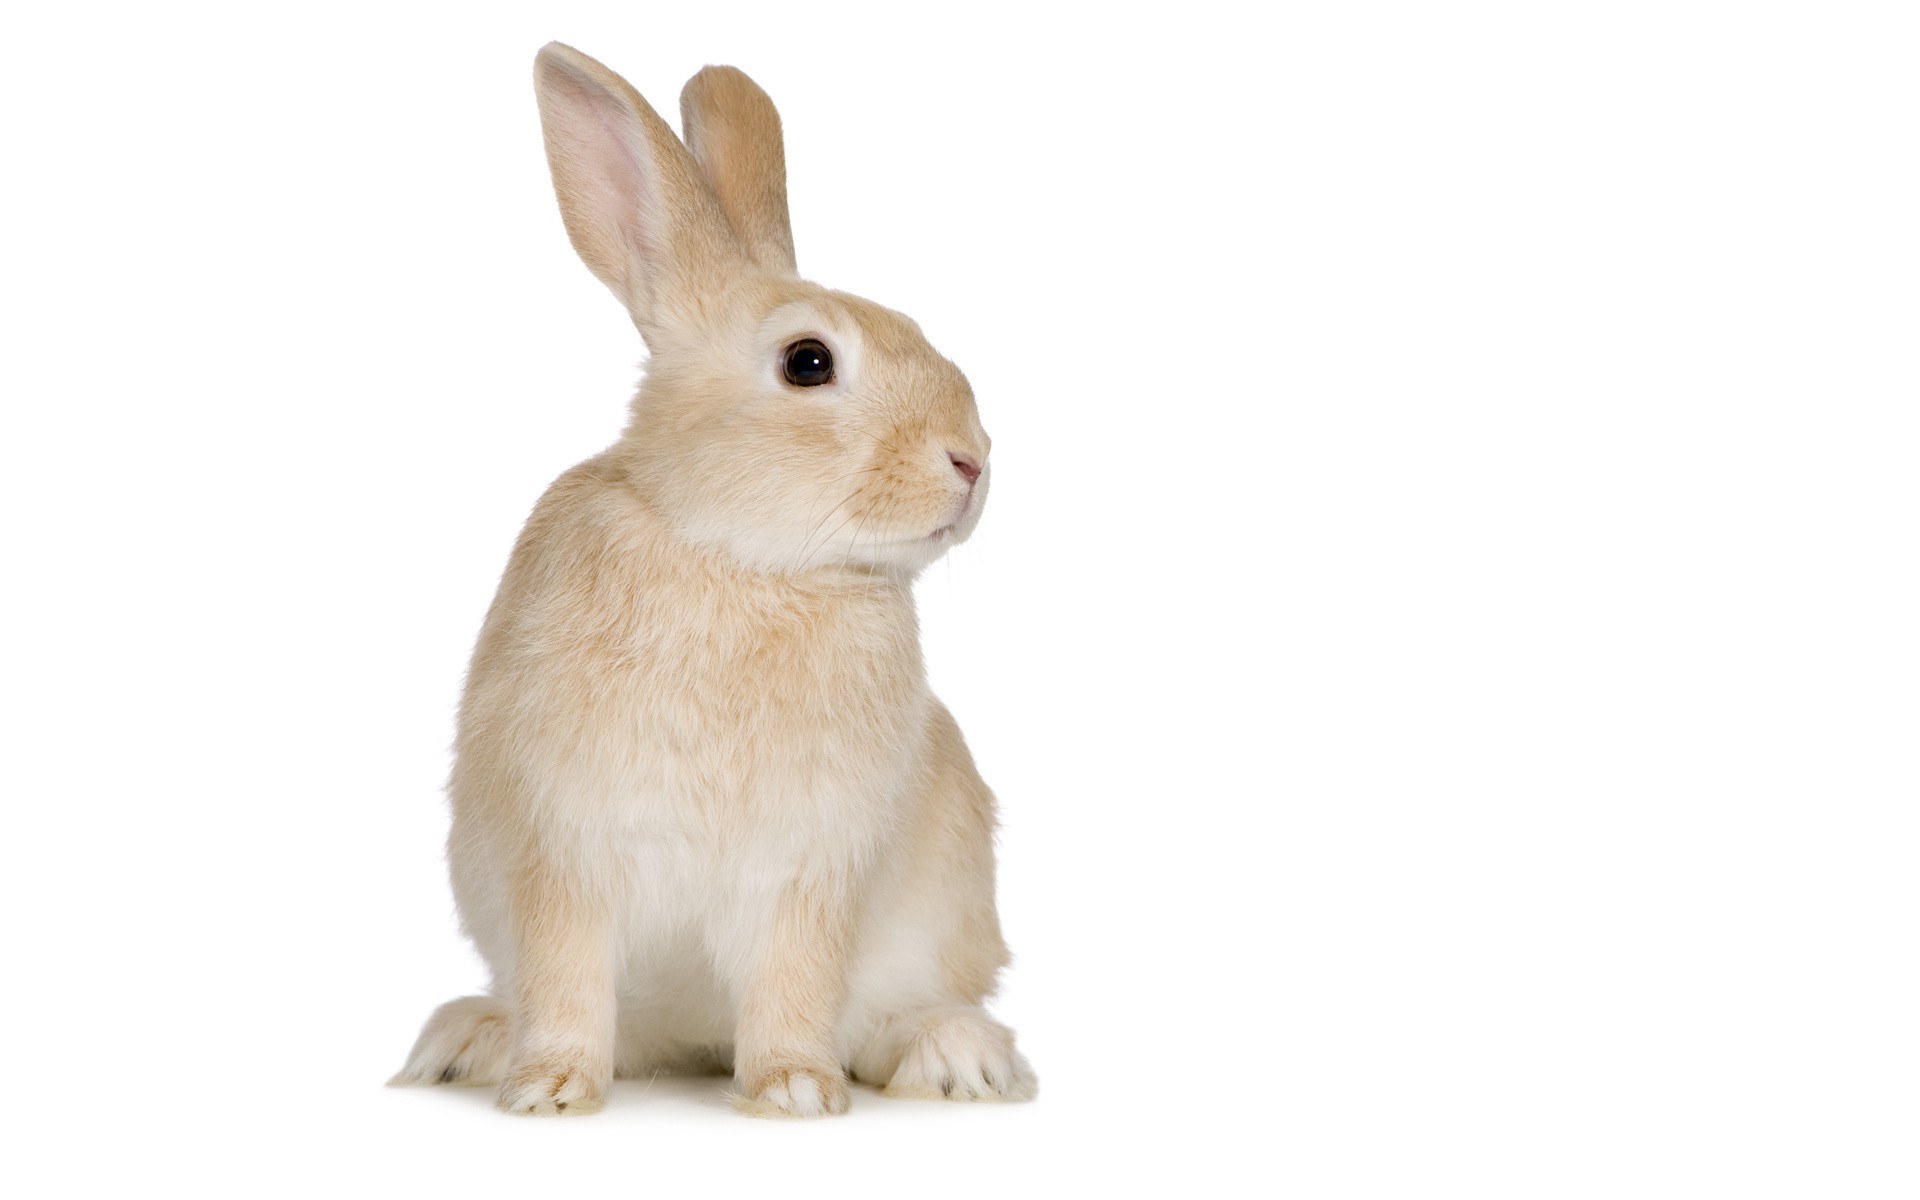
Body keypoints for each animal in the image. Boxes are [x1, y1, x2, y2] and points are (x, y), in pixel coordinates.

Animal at [388, 42, 1034, 1118]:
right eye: (808, 362)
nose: (972, 461)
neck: (737, 555)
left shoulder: (811, 870)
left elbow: (795, 982)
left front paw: (796, 1091)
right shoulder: (563, 850)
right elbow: (566, 976)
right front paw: (550, 1088)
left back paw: (957, 1057)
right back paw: (471, 1040)